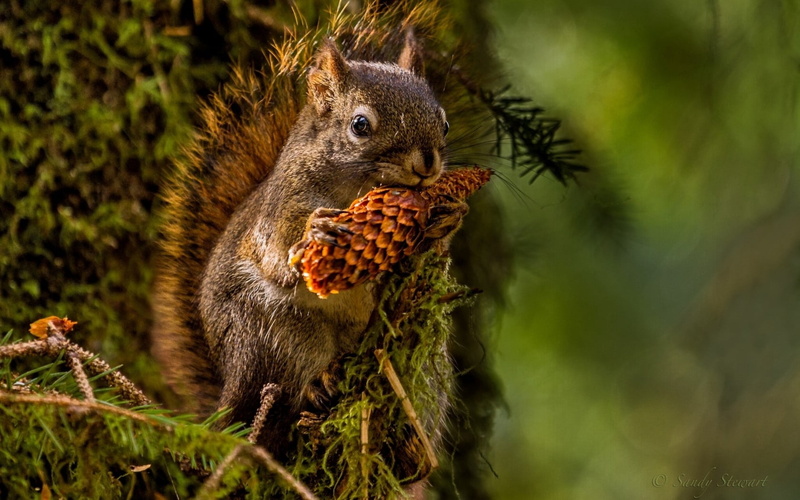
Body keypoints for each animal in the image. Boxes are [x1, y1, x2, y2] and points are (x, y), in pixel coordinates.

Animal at [151, 30, 462, 459]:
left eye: (444, 123)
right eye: (360, 125)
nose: (426, 164)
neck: (357, 190)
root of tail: (226, 393)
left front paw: (446, 219)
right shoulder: (278, 208)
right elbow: (278, 246)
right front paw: (315, 230)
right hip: (274, 332)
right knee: (288, 389)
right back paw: (317, 384)